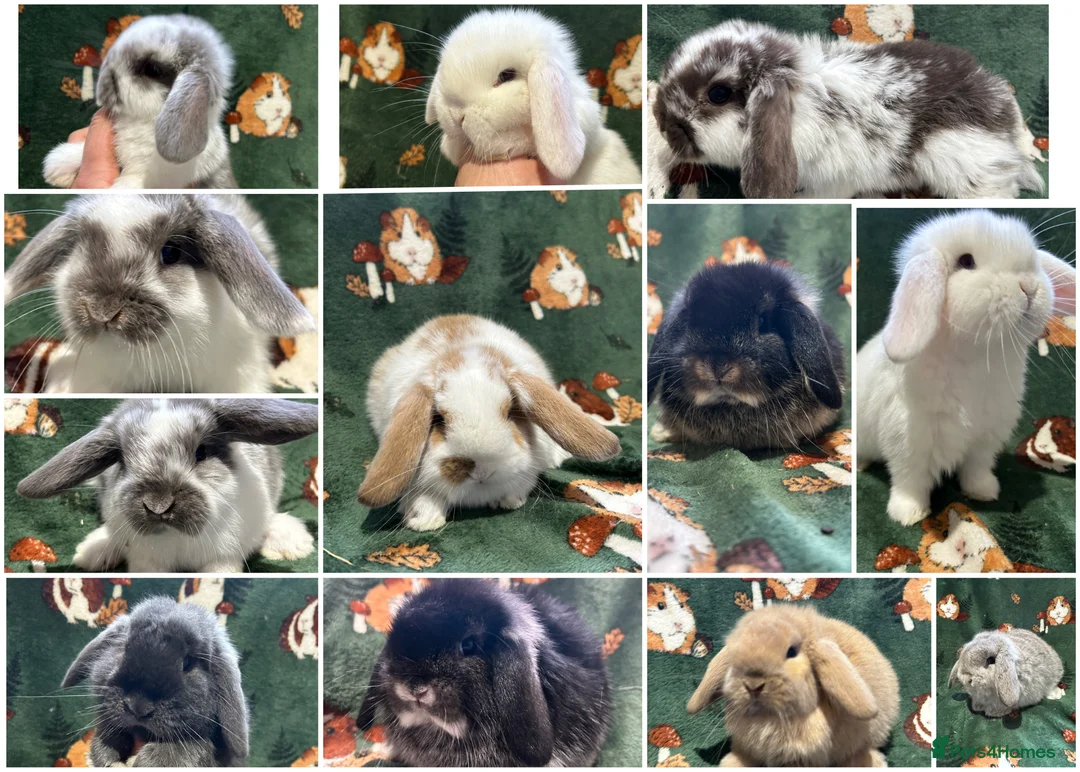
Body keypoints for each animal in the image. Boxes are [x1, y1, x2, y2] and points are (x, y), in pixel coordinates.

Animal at [16, 398, 318, 573]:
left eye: (201, 452)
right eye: (122, 460)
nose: (158, 505)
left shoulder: (224, 557)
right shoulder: (146, 561)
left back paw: (293, 543)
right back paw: (91, 552)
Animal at [357, 315, 621, 531]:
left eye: (510, 412)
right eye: (439, 419)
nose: (482, 471)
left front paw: (509, 501)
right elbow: (425, 498)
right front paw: (423, 522)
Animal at [856, 210, 1076, 525]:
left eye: (1034, 261)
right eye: (966, 261)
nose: (1030, 287)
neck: (977, 356)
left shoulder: (985, 438)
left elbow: (977, 468)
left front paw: (985, 492)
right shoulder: (909, 440)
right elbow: (910, 480)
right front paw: (908, 514)